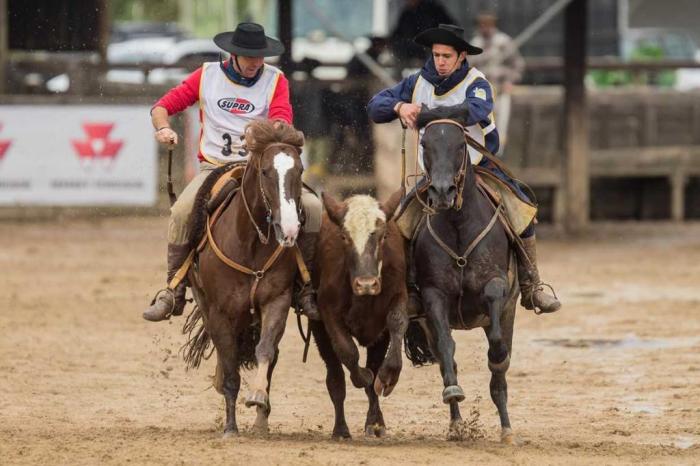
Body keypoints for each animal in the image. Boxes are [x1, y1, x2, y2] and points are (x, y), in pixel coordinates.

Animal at [187, 121, 304, 436]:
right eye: (265, 171)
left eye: (299, 170)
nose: (290, 228)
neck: (249, 241)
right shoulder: (219, 312)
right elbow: (230, 369)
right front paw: (230, 427)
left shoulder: (276, 301)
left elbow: (266, 350)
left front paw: (259, 398)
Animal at [310, 187, 408, 438]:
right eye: (344, 237)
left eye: (383, 236)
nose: (366, 284)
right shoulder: (327, 311)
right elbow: (348, 352)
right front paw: (363, 375)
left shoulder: (398, 295)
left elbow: (397, 323)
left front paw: (388, 376)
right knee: (335, 379)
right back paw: (341, 428)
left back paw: (376, 423)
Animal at [410, 104, 520, 442]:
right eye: (425, 144)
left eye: (460, 145)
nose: (442, 190)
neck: (458, 226)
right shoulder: (433, 296)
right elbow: (447, 349)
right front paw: (453, 393)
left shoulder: (497, 286)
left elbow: (497, 345)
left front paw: (497, 356)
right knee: (447, 357)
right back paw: (457, 423)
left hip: (509, 312)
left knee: (500, 374)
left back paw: (507, 428)